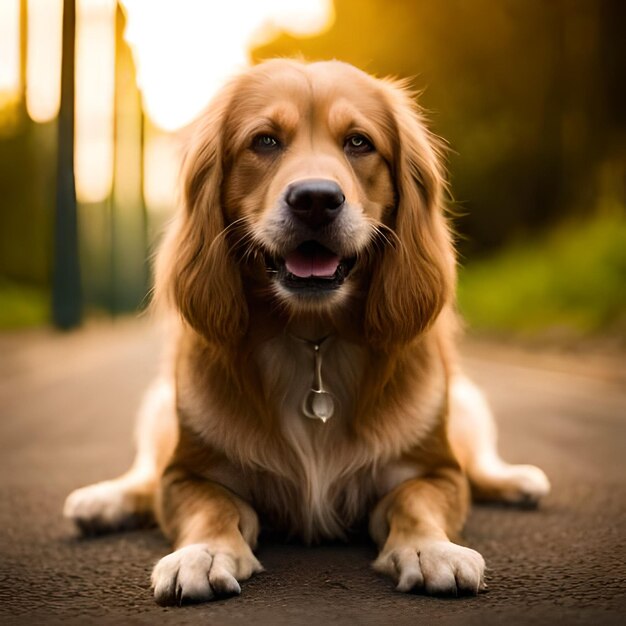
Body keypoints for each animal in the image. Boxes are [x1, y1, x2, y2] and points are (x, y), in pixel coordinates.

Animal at [64, 61, 544, 604]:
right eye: (265, 141)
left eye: (358, 142)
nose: (316, 200)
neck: (312, 335)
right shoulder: (186, 474)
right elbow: (212, 507)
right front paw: (202, 552)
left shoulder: (435, 470)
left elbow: (415, 502)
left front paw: (431, 548)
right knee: (144, 476)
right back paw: (102, 502)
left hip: (466, 402)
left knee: (479, 465)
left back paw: (515, 480)